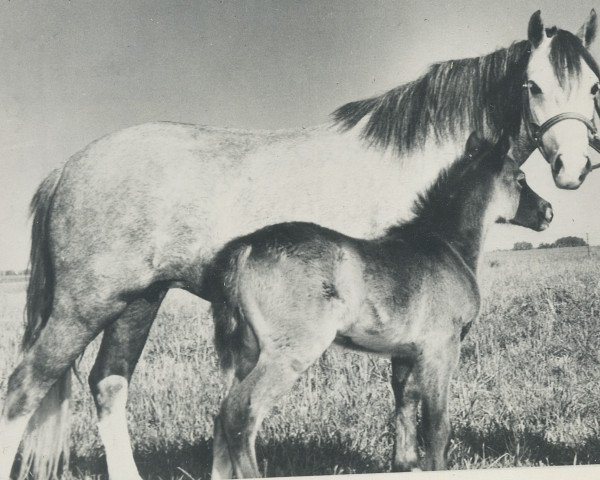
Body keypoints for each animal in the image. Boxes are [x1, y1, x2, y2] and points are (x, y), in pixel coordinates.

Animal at [207, 133, 552, 478]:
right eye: (520, 179)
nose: (548, 211)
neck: (446, 245)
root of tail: (247, 247)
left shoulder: (404, 354)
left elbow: (405, 414)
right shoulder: (442, 348)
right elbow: (436, 425)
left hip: (248, 352)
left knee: (222, 417)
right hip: (290, 351)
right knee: (240, 411)